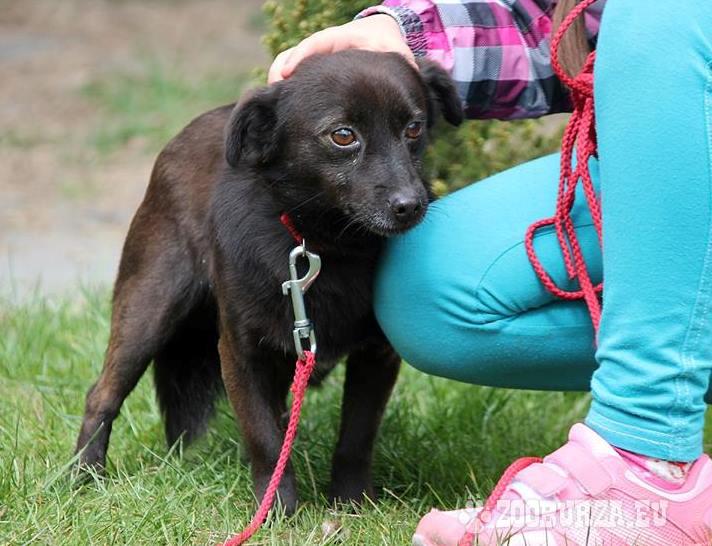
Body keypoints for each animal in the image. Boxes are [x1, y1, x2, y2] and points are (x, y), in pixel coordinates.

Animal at [74, 49, 462, 513]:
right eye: (343, 135)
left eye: (414, 128)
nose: (410, 205)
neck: (327, 243)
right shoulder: (241, 354)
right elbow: (264, 438)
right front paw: (276, 511)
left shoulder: (376, 355)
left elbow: (356, 435)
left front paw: (351, 503)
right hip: (148, 308)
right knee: (101, 394)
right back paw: (83, 477)